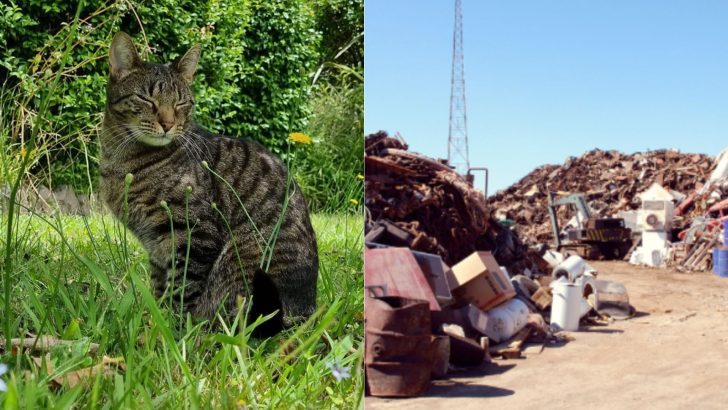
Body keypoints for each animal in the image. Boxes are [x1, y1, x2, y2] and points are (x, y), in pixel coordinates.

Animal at [100, 32, 318, 336]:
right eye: (146, 98)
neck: (122, 158)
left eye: (181, 103)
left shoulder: (194, 232)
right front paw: (155, 319)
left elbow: (182, 289)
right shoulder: (157, 246)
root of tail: (305, 314)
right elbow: (159, 287)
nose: (167, 124)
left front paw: (173, 330)